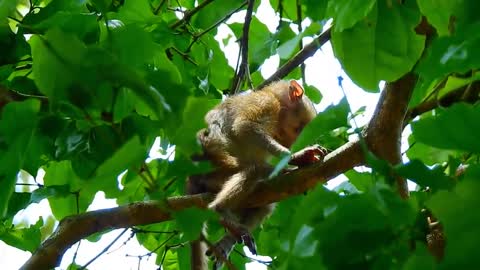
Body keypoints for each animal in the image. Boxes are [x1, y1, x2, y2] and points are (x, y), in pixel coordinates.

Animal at [186, 80, 324, 270]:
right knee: (253, 170)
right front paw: (297, 157)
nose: (291, 144)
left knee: (265, 204)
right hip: (214, 171)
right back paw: (220, 210)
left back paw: (228, 240)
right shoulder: (267, 103)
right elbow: (245, 126)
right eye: (300, 129)